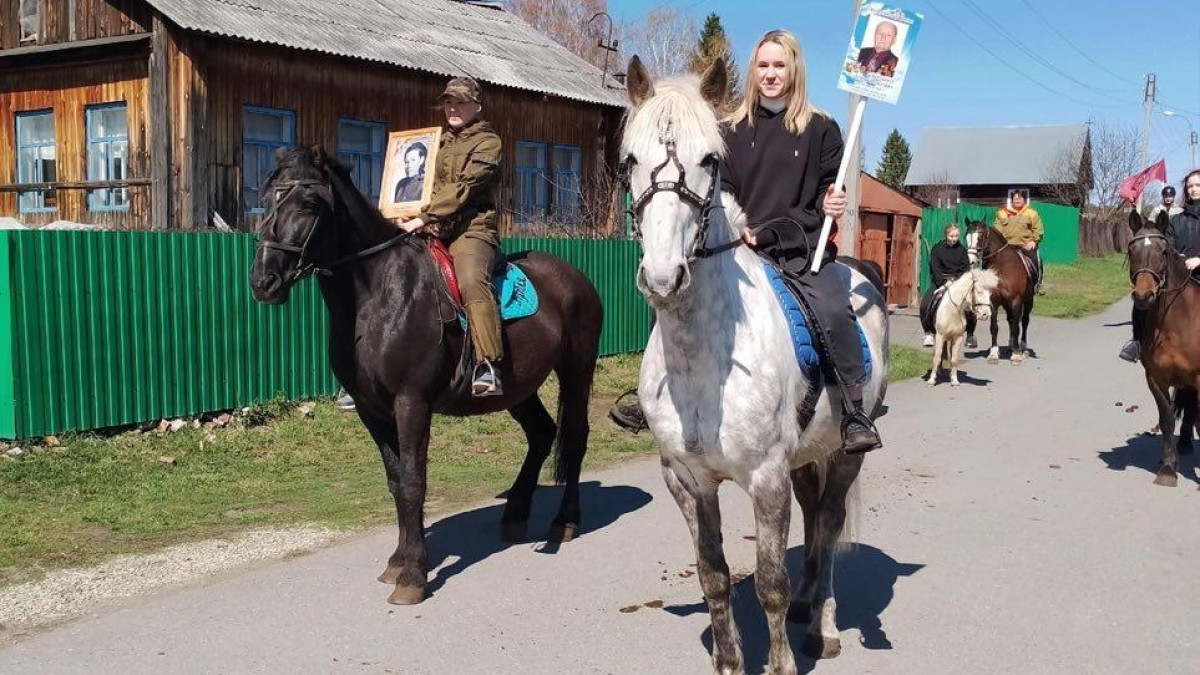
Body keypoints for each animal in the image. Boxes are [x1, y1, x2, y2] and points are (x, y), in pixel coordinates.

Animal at [248, 147, 604, 604]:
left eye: (309, 204)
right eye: (266, 198)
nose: (264, 281)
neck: (379, 295)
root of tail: (576, 277)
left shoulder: (411, 402)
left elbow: (415, 482)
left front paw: (414, 575)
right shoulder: (371, 409)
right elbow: (397, 482)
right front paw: (399, 560)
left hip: (576, 370)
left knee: (574, 438)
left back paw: (564, 521)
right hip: (518, 387)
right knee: (542, 433)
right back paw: (515, 513)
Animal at [621, 56, 888, 673]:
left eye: (709, 160)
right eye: (630, 159)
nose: (663, 277)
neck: (703, 363)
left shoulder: (767, 479)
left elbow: (769, 583)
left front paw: (781, 662)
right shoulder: (688, 481)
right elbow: (714, 576)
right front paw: (729, 661)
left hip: (845, 454)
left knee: (829, 524)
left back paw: (824, 625)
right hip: (807, 456)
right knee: (814, 517)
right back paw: (810, 602)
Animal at [966, 220, 1036, 365]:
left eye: (980, 237)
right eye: (967, 237)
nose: (971, 261)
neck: (1003, 266)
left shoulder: (1016, 300)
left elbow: (1016, 327)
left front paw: (1016, 355)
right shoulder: (993, 301)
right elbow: (994, 327)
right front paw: (993, 354)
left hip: (1028, 301)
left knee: (1024, 321)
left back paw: (1022, 348)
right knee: (1011, 319)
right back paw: (1011, 345)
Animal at [1127, 209, 1200, 488]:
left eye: (1163, 251)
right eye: (1131, 249)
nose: (1143, 296)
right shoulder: (1156, 378)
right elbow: (1166, 419)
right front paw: (1168, 469)